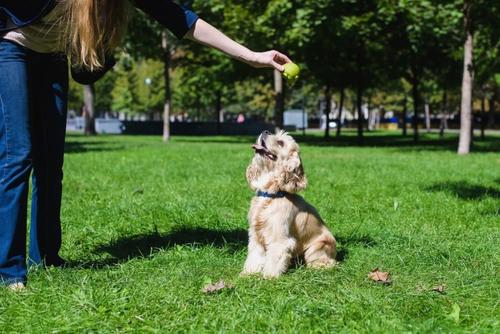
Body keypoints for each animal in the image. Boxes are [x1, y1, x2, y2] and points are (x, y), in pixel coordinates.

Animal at [241, 130, 336, 280]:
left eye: (280, 142)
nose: (265, 131)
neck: (271, 194)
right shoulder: (255, 236)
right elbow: (254, 257)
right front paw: (248, 274)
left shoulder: (279, 239)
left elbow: (273, 260)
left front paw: (268, 278)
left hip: (316, 248)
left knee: (328, 263)